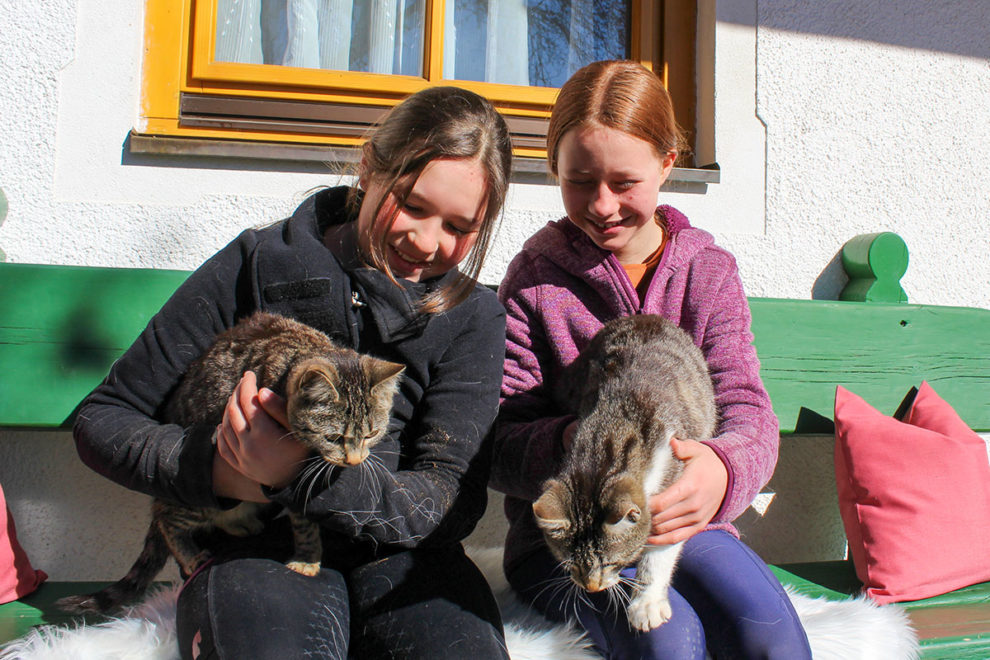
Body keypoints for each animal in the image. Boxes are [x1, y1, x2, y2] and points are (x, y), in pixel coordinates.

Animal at [57, 310, 406, 612]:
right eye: (333, 437)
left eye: (372, 433)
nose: (354, 460)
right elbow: (304, 523)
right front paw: (307, 560)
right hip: (196, 499)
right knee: (167, 520)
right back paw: (191, 555)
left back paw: (242, 522)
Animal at [532, 318, 716, 632]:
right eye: (571, 565)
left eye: (610, 563)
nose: (592, 588)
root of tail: (646, 319)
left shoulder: (675, 483)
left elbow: (659, 555)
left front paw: (646, 603)